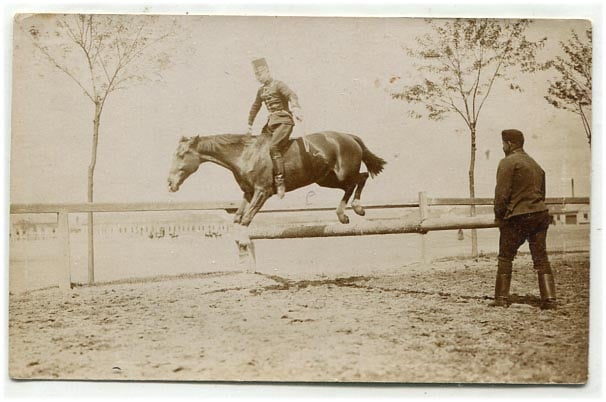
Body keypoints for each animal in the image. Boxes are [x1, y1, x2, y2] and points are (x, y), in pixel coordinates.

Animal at [167, 130, 384, 240]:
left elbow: (246, 220)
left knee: (361, 178)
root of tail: (349, 137)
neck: (244, 154)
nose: (170, 183)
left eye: (181, 155)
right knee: (353, 184)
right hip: (326, 179)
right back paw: (343, 215)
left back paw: (356, 209)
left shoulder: (262, 192)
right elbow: (238, 218)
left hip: (342, 173)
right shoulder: (248, 193)